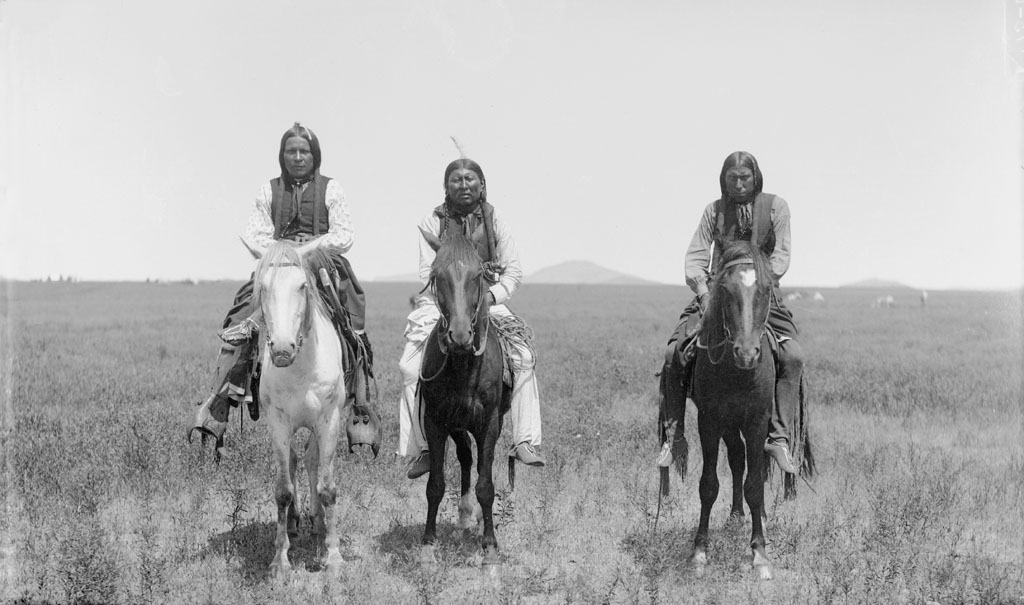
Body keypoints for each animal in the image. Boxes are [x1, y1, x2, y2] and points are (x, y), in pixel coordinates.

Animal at [247, 239, 348, 573]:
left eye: (302, 285)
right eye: (263, 286)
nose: (281, 349)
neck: (302, 368)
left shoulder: (329, 420)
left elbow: (327, 487)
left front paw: (333, 555)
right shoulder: (278, 423)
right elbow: (283, 490)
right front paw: (280, 559)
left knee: (312, 462)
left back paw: (318, 523)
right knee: (293, 462)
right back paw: (294, 523)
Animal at [415, 225, 512, 573]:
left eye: (478, 275)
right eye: (436, 275)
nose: (459, 336)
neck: (463, 366)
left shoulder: (490, 423)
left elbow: (486, 485)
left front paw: (491, 547)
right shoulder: (435, 421)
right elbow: (435, 485)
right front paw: (428, 546)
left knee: (477, 462)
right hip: (457, 425)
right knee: (466, 458)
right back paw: (464, 517)